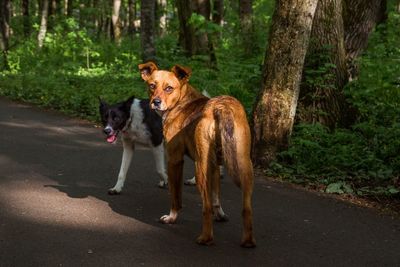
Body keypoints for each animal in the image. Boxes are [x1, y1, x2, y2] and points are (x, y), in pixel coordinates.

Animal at [138, 61, 256, 248]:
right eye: (152, 86)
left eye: (169, 88)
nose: (155, 102)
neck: (181, 100)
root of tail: (221, 107)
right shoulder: (214, 166)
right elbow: (216, 196)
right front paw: (220, 215)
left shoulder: (174, 160)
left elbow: (175, 196)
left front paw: (171, 217)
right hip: (244, 165)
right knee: (246, 208)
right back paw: (248, 241)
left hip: (200, 168)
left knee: (205, 207)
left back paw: (205, 238)